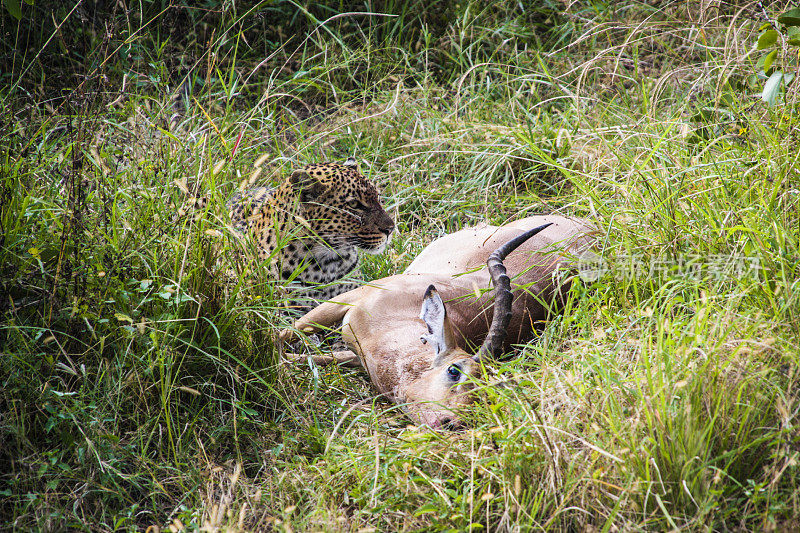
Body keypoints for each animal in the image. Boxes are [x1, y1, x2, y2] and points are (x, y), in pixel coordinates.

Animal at [280, 214, 592, 426]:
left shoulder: (357, 355)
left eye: (487, 392)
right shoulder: (349, 299)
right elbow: (285, 337)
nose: (452, 423)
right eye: (455, 371)